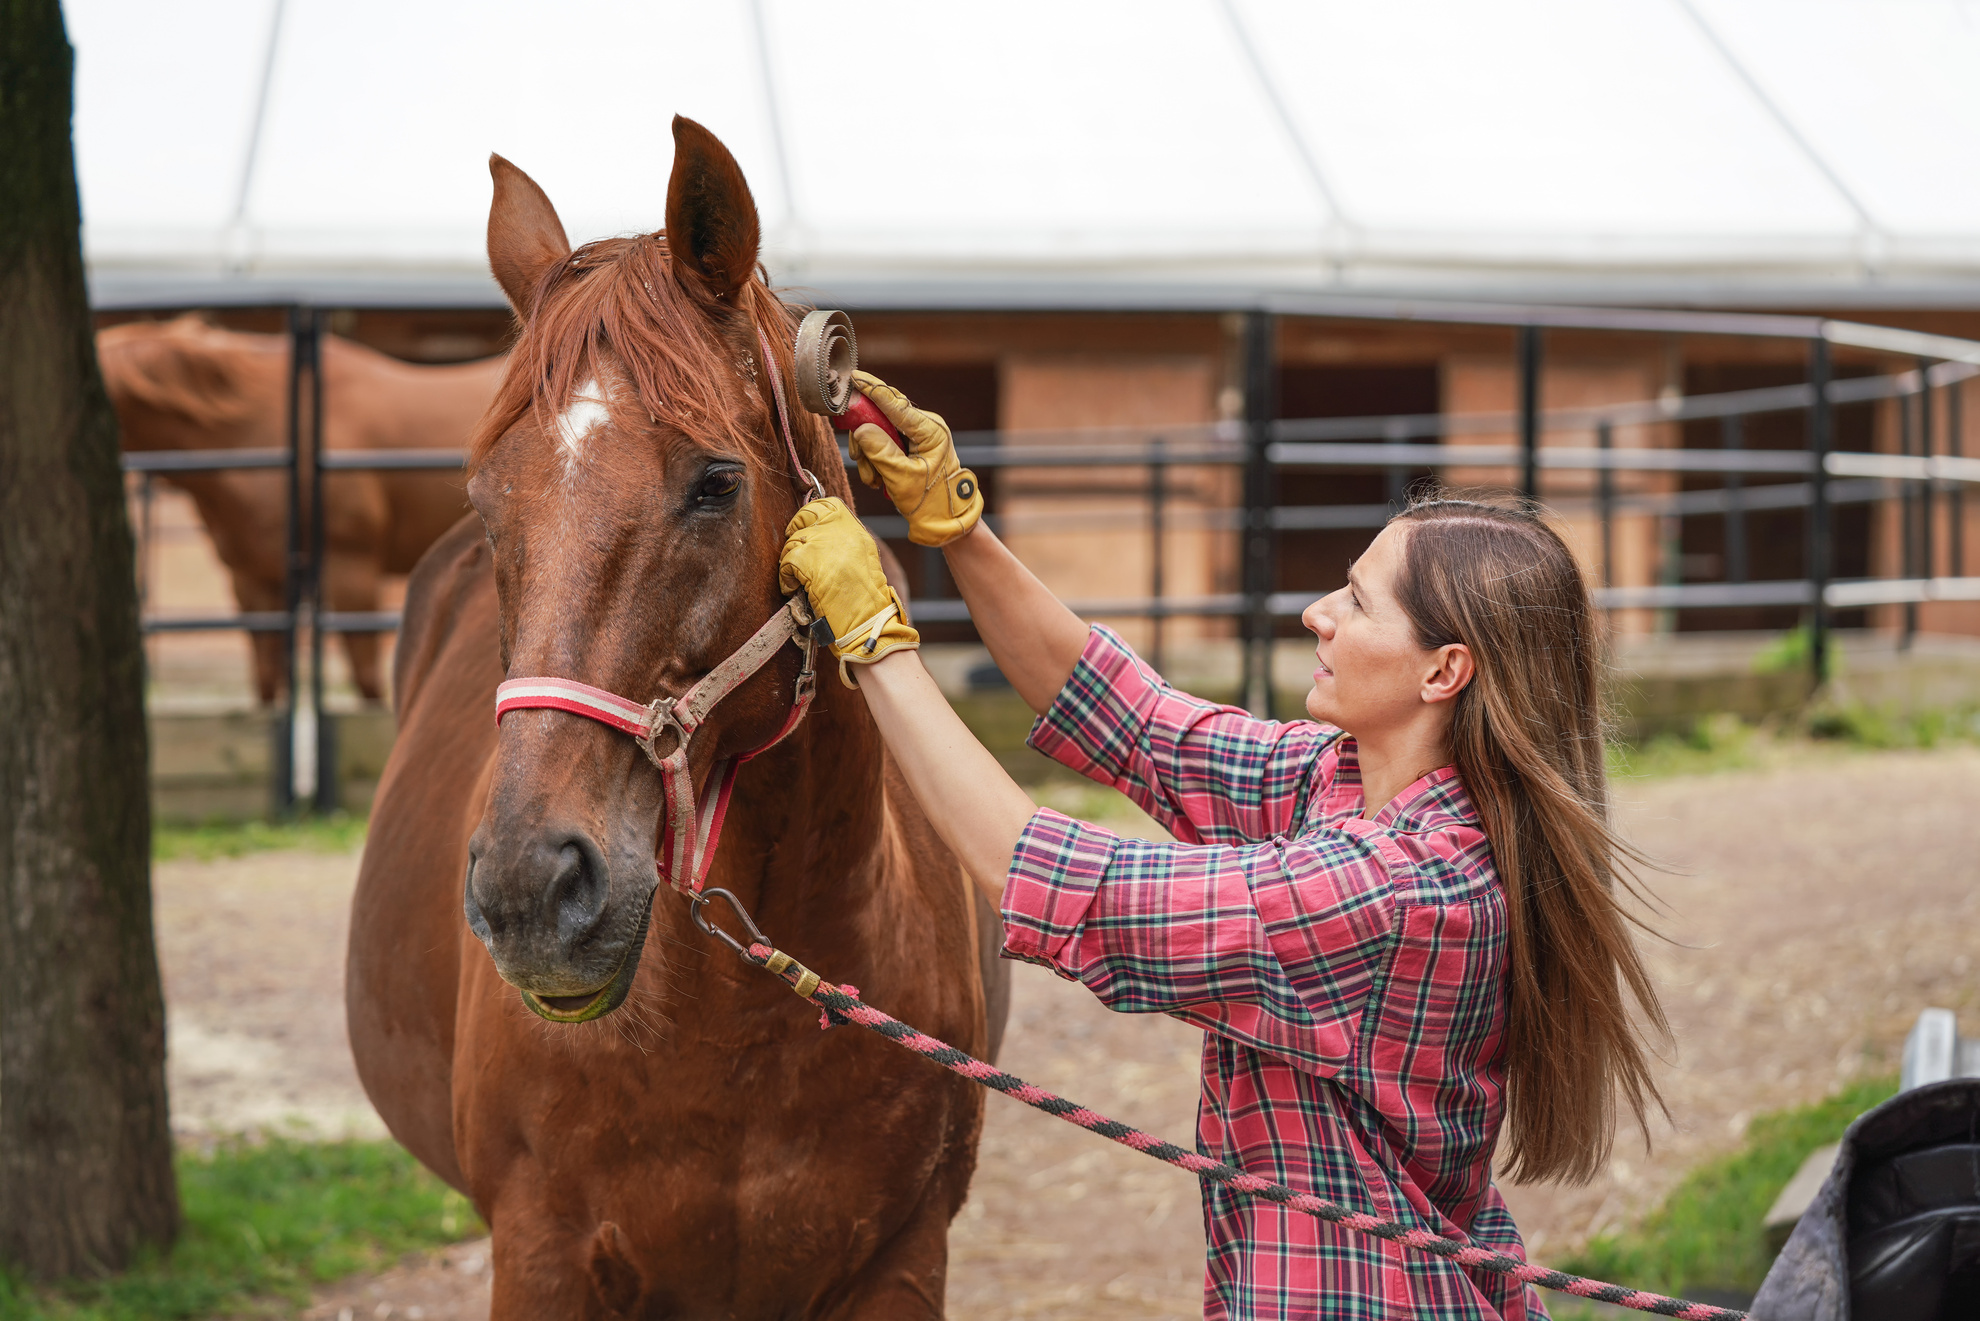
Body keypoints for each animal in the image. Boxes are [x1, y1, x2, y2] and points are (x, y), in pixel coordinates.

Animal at [344, 116, 1005, 1321]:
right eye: (486, 502)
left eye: (713, 483)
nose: (529, 888)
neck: (729, 1020)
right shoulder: (541, 1257)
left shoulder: (903, 1256)